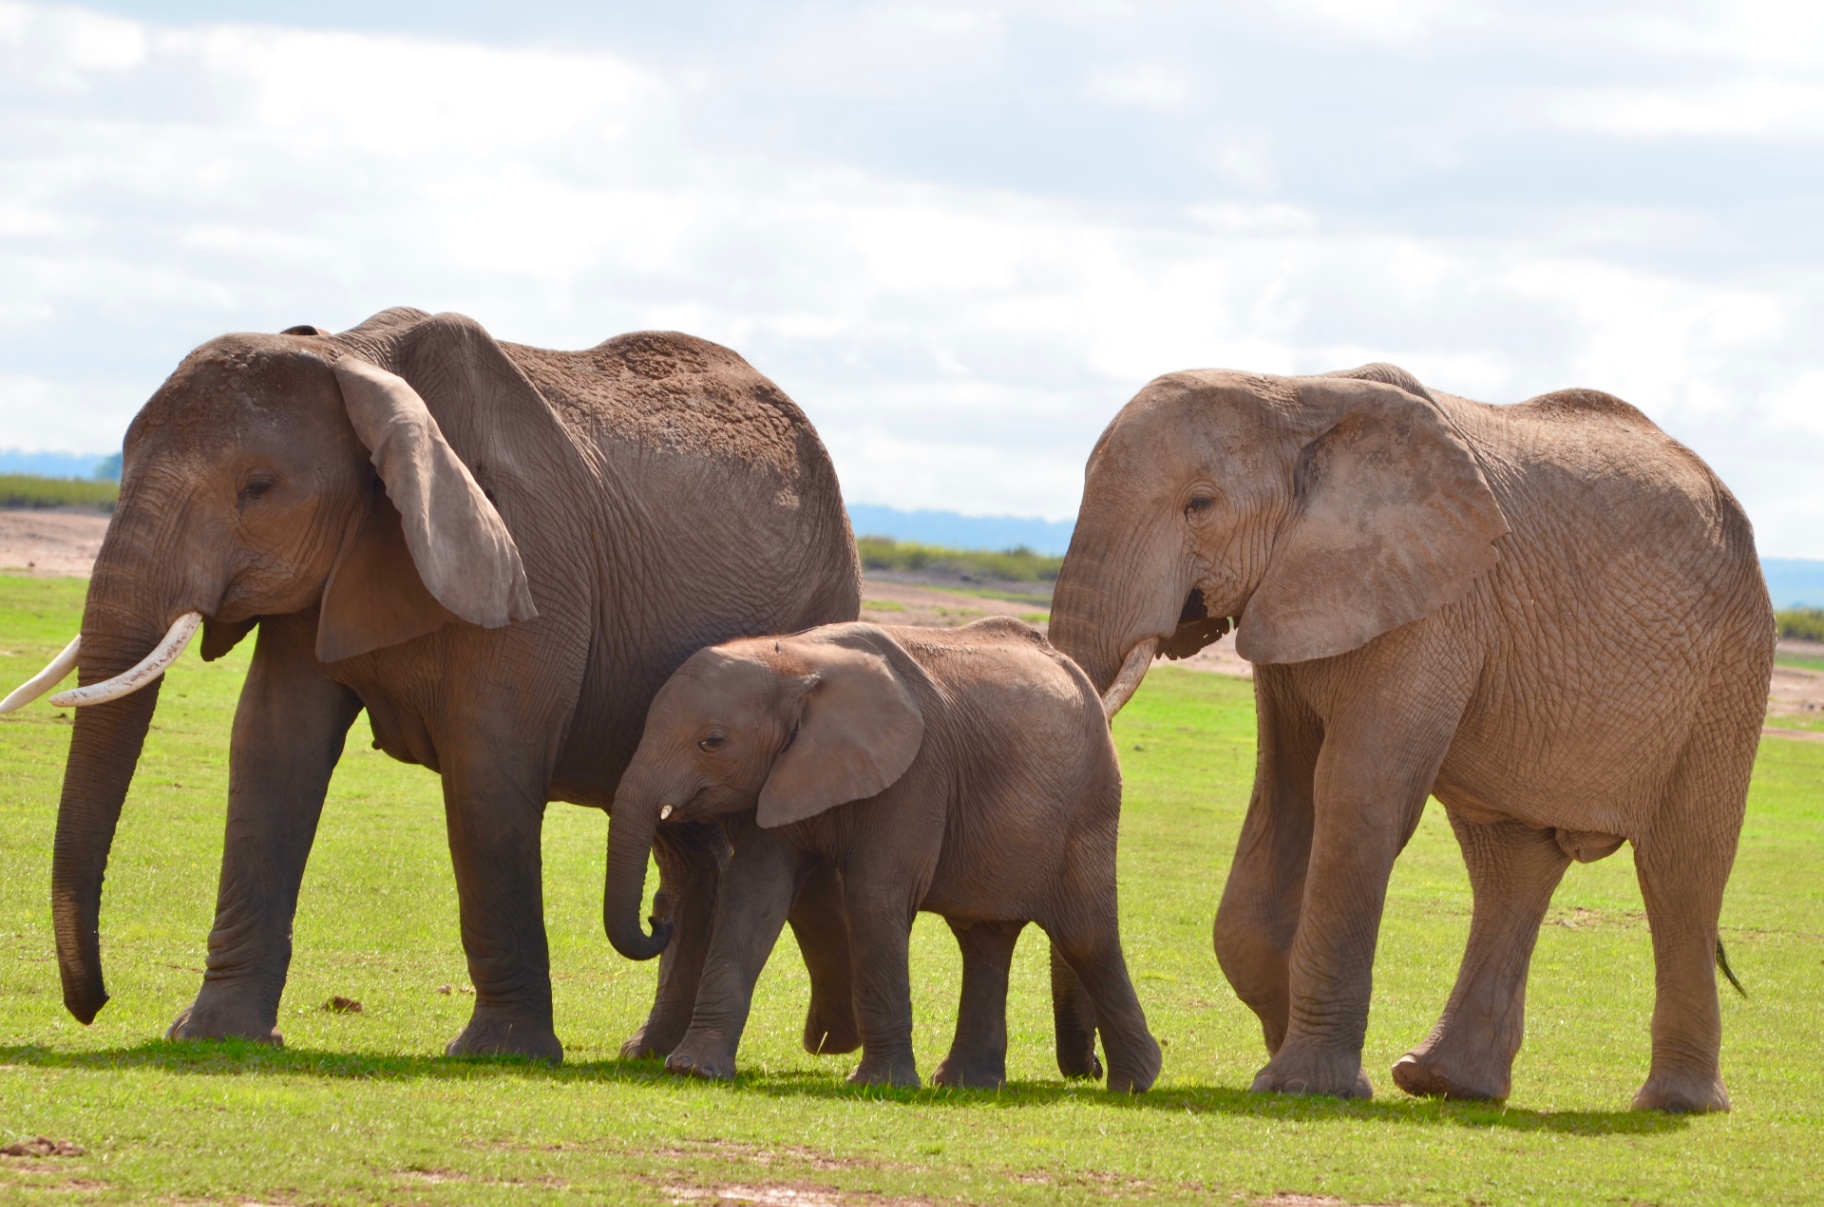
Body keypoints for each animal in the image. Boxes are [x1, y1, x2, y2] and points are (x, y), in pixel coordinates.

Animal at [2, 306, 868, 1063]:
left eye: (259, 487)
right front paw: (215, 1037)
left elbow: (488, 768)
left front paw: (500, 1053)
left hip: (817, 605)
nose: (93, 1004)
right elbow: (272, 748)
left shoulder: (529, 559)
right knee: (685, 845)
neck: (353, 355)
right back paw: (649, 1051)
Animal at [602, 617, 1163, 1092]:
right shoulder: (780, 776)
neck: (796, 660)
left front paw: (881, 1086)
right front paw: (694, 1069)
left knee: (1085, 936)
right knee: (983, 941)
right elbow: (752, 898)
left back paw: (1135, 1083)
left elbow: (876, 897)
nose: (657, 918)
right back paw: (966, 1085)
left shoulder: (915, 774)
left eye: (712, 742)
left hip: (1089, 806)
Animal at [1046, 362, 1772, 1112]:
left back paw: (1676, 1104)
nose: (1093, 1069)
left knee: (1682, 865)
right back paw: (1446, 1083)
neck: (1296, 393)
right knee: (1509, 864)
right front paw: (1282, 1054)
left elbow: (1357, 794)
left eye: (1200, 503)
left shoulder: (1435, 601)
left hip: (1730, 666)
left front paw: (1305, 1086)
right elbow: (1284, 800)